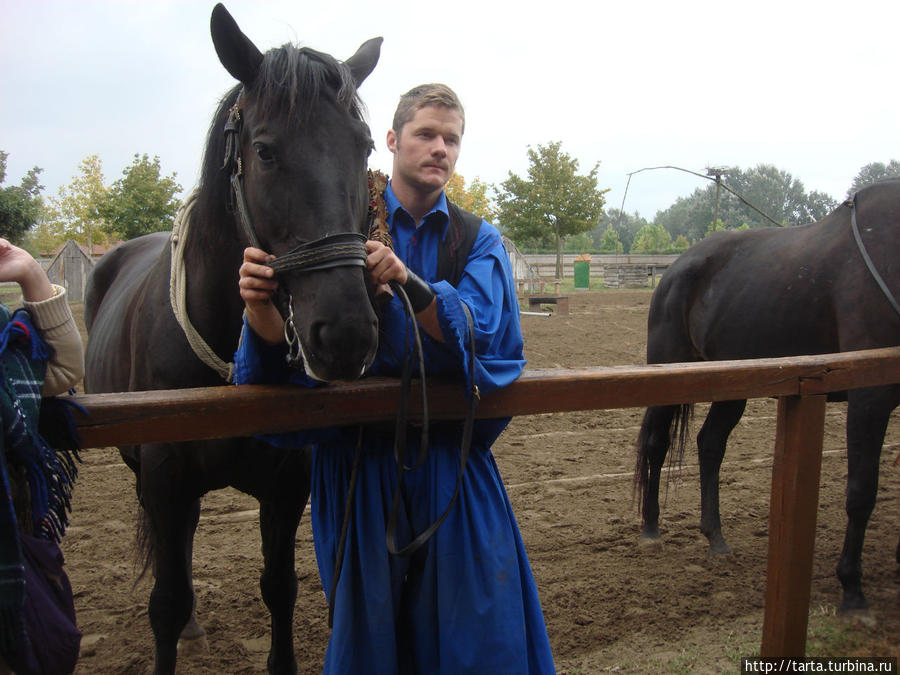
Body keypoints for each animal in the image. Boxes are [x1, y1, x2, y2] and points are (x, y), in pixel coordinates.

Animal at [81, 3, 384, 672]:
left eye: (365, 147)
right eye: (265, 151)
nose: (345, 333)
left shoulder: (287, 480)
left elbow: (280, 586)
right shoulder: (164, 474)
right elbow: (166, 602)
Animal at [632, 177, 900, 616]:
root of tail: (676, 268)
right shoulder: (869, 399)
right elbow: (862, 491)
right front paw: (852, 589)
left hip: (731, 386)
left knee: (710, 445)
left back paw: (715, 535)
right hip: (669, 375)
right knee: (657, 443)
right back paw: (651, 526)